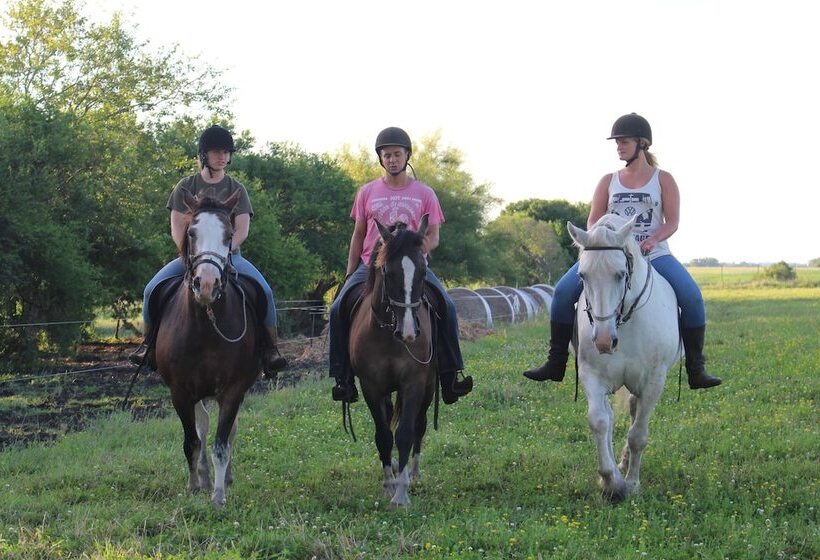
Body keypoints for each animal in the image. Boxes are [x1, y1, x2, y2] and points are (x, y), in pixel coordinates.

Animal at [154, 189, 263, 508]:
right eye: (191, 232)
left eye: (229, 235)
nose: (206, 284)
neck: (205, 326)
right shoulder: (179, 392)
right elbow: (192, 441)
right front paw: (194, 486)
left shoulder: (233, 390)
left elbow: (222, 443)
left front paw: (218, 496)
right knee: (201, 427)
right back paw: (202, 475)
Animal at [348, 215, 436, 508]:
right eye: (388, 272)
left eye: (423, 272)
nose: (409, 332)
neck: (388, 335)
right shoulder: (371, 387)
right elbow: (384, 435)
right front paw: (389, 484)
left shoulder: (414, 383)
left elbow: (406, 433)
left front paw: (401, 494)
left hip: (429, 388)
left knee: (420, 425)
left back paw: (414, 473)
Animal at [568, 213, 681, 503]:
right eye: (582, 275)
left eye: (620, 274)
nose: (603, 340)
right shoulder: (592, 375)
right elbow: (599, 422)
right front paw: (611, 482)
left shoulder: (653, 381)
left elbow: (638, 435)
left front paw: (632, 483)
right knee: (611, 417)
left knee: (634, 412)